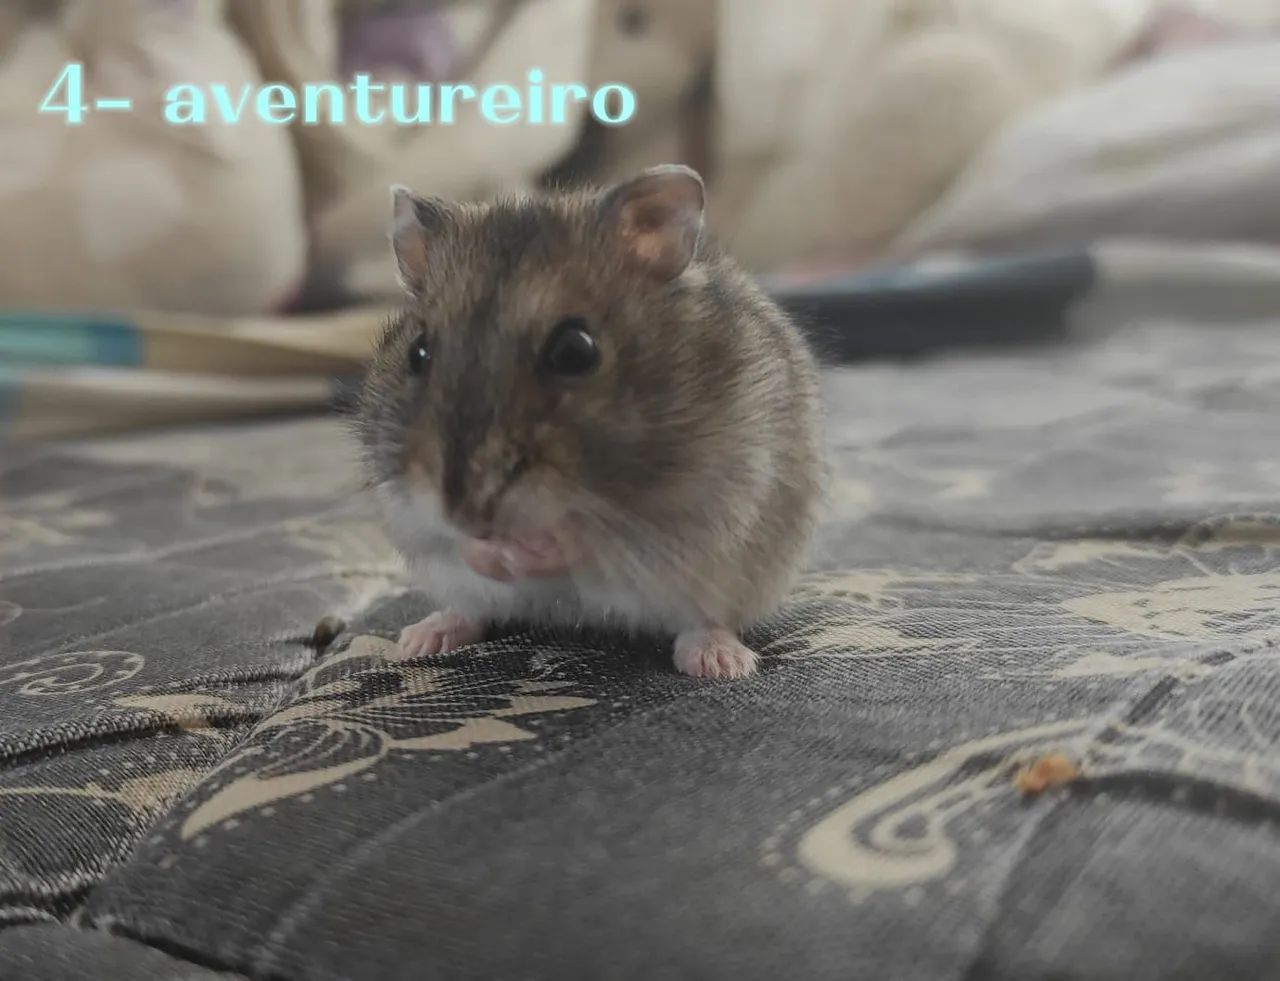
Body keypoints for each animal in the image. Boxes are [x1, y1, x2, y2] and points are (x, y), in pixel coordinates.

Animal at [354, 164, 825, 680]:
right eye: (418, 352)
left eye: (575, 350)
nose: (466, 517)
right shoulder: (409, 511)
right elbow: (452, 544)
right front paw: (491, 554)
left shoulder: (689, 508)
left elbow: (583, 538)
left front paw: (526, 549)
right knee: (470, 609)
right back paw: (418, 640)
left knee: (703, 622)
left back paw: (720, 662)